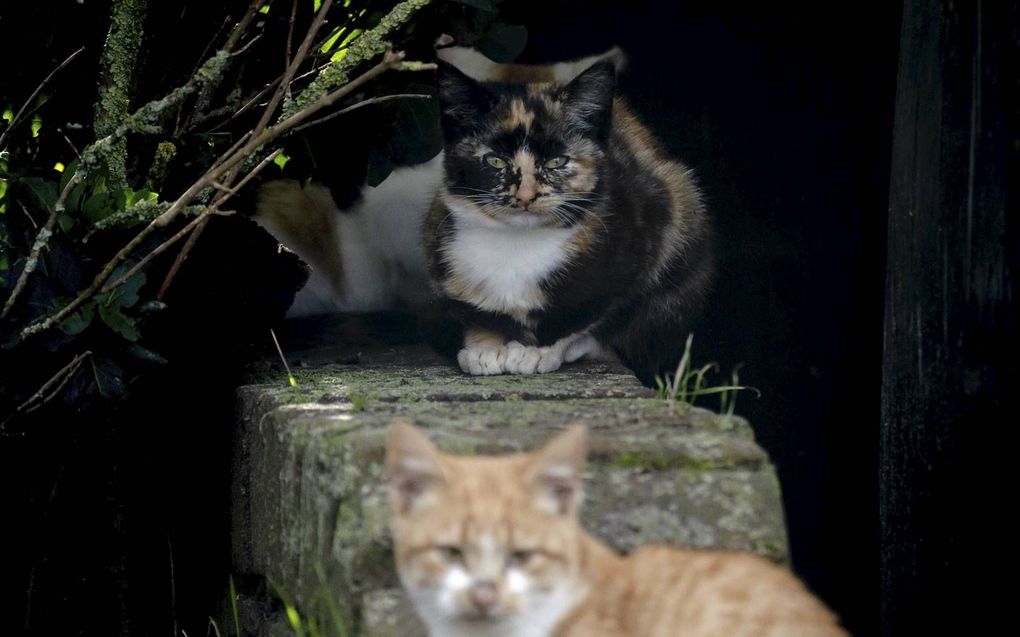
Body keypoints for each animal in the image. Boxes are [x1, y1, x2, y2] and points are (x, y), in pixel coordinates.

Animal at [422, 55, 709, 383]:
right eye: (494, 161)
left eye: (557, 161)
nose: (526, 196)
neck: (516, 244)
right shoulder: (439, 246)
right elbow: (474, 310)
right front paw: (484, 347)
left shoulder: (644, 235)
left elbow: (585, 313)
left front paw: (535, 352)